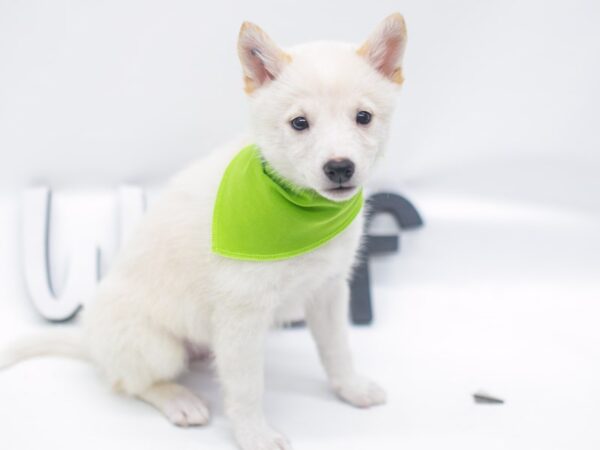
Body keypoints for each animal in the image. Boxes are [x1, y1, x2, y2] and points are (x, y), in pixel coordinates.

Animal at [1, 13, 408, 450]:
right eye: (300, 123)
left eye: (363, 117)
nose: (340, 168)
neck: (303, 214)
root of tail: (91, 344)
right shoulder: (241, 315)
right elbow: (247, 387)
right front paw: (254, 434)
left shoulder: (328, 292)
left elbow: (337, 350)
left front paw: (350, 388)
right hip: (156, 346)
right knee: (128, 382)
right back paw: (178, 399)